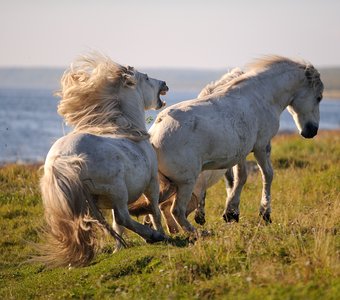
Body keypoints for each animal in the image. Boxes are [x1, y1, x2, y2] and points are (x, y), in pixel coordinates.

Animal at [38, 54, 169, 268]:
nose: (164, 83)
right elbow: (154, 211)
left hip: (88, 201)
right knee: (124, 217)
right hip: (118, 190)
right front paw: (161, 233)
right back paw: (153, 236)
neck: (129, 131)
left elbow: (116, 225)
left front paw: (118, 249)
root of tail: (61, 161)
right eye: (147, 78)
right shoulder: (152, 183)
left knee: (100, 222)